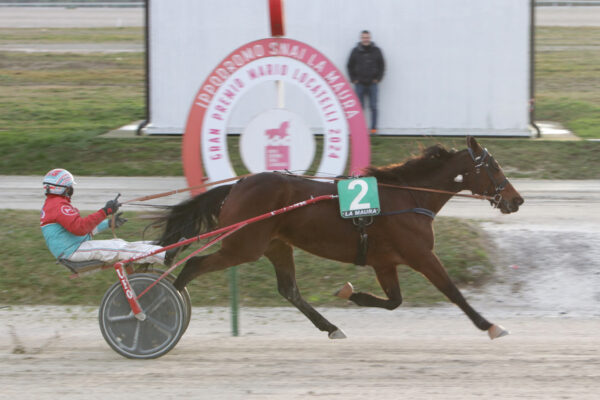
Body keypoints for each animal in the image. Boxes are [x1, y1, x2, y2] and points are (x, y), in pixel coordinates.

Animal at [161, 136, 524, 340]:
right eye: (493, 166)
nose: (517, 200)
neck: (408, 197)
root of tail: (237, 186)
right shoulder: (420, 255)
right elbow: (453, 291)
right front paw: (490, 326)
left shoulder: (384, 262)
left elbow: (394, 301)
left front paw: (351, 293)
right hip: (242, 246)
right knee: (192, 266)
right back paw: (160, 309)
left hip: (276, 245)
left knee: (290, 290)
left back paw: (331, 327)